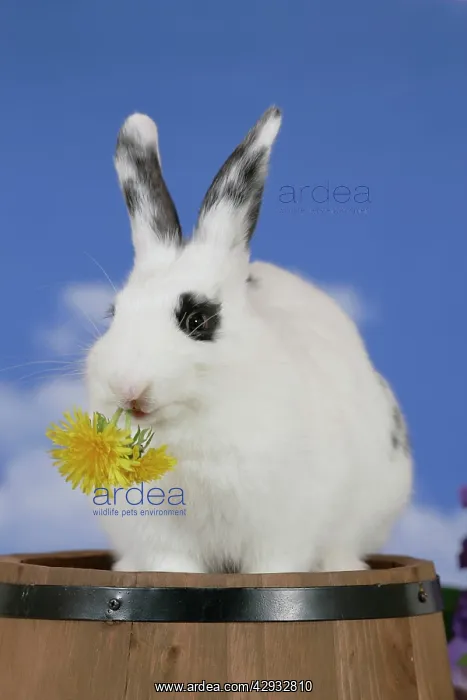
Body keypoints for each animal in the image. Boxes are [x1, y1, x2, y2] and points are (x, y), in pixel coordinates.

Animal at [84, 105, 413, 574]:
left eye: (198, 319)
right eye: (113, 313)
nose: (126, 388)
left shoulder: (283, 528)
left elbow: (274, 568)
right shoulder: (159, 533)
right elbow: (172, 567)